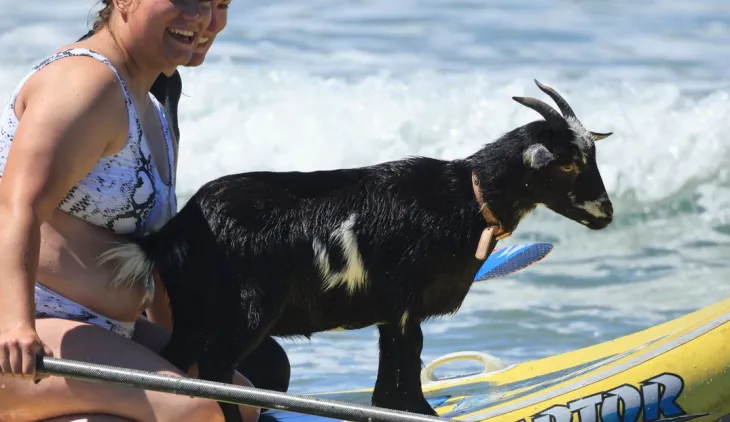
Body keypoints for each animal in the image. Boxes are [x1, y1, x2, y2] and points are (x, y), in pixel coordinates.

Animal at [99, 80, 614, 421]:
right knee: (216, 371)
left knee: (177, 364)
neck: (463, 197)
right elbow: (407, 363)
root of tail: (177, 230)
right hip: (246, 310)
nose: (606, 213)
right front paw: (420, 409)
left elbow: (393, 371)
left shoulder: (392, 309)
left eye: (593, 155)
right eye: (568, 164)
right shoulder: (406, 301)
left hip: (192, 311)